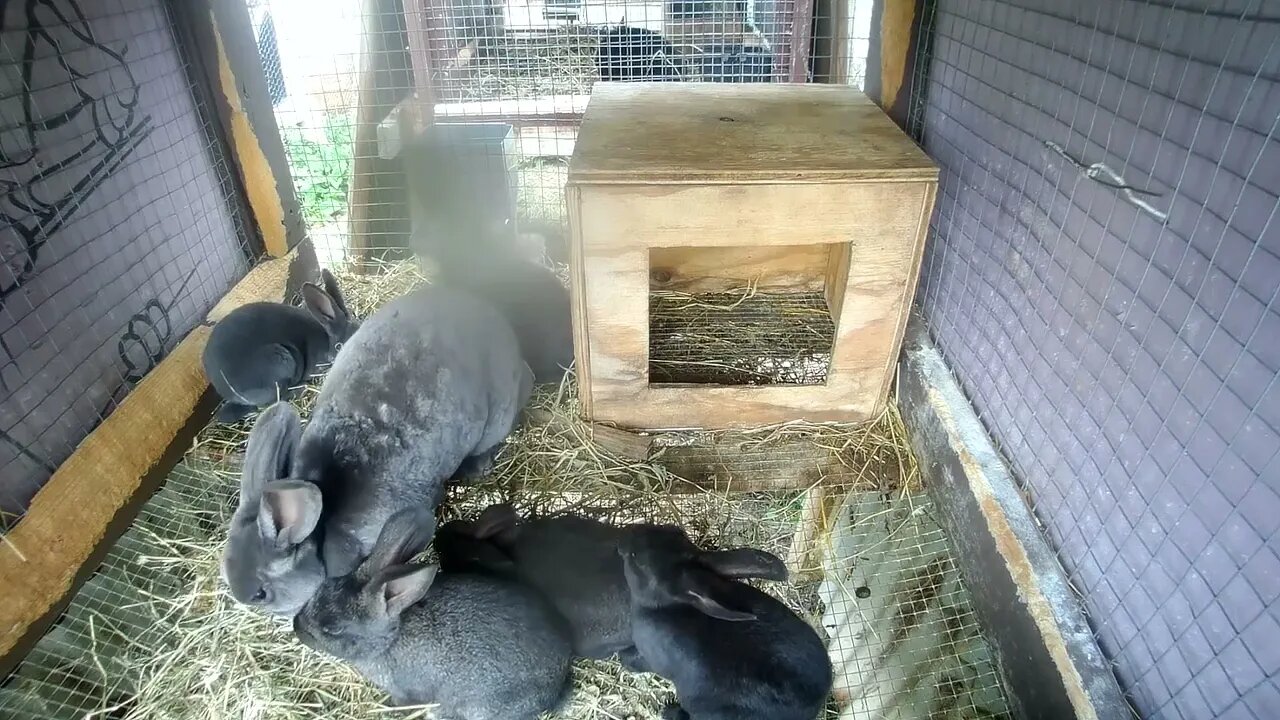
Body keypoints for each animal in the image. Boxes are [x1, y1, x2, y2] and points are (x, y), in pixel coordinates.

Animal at [203, 271, 355, 422]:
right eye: (340, 346)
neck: (327, 342)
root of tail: (225, 390)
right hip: (280, 361)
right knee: (274, 400)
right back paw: (301, 388)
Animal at [293, 504, 573, 717]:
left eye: (333, 628)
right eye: (320, 590)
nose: (297, 626)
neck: (391, 640)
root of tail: (558, 686)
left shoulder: (407, 690)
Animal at [616, 520, 834, 717]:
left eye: (637, 561)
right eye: (673, 529)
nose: (626, 532)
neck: (667, 606)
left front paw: (625, 659)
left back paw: (670, 710)